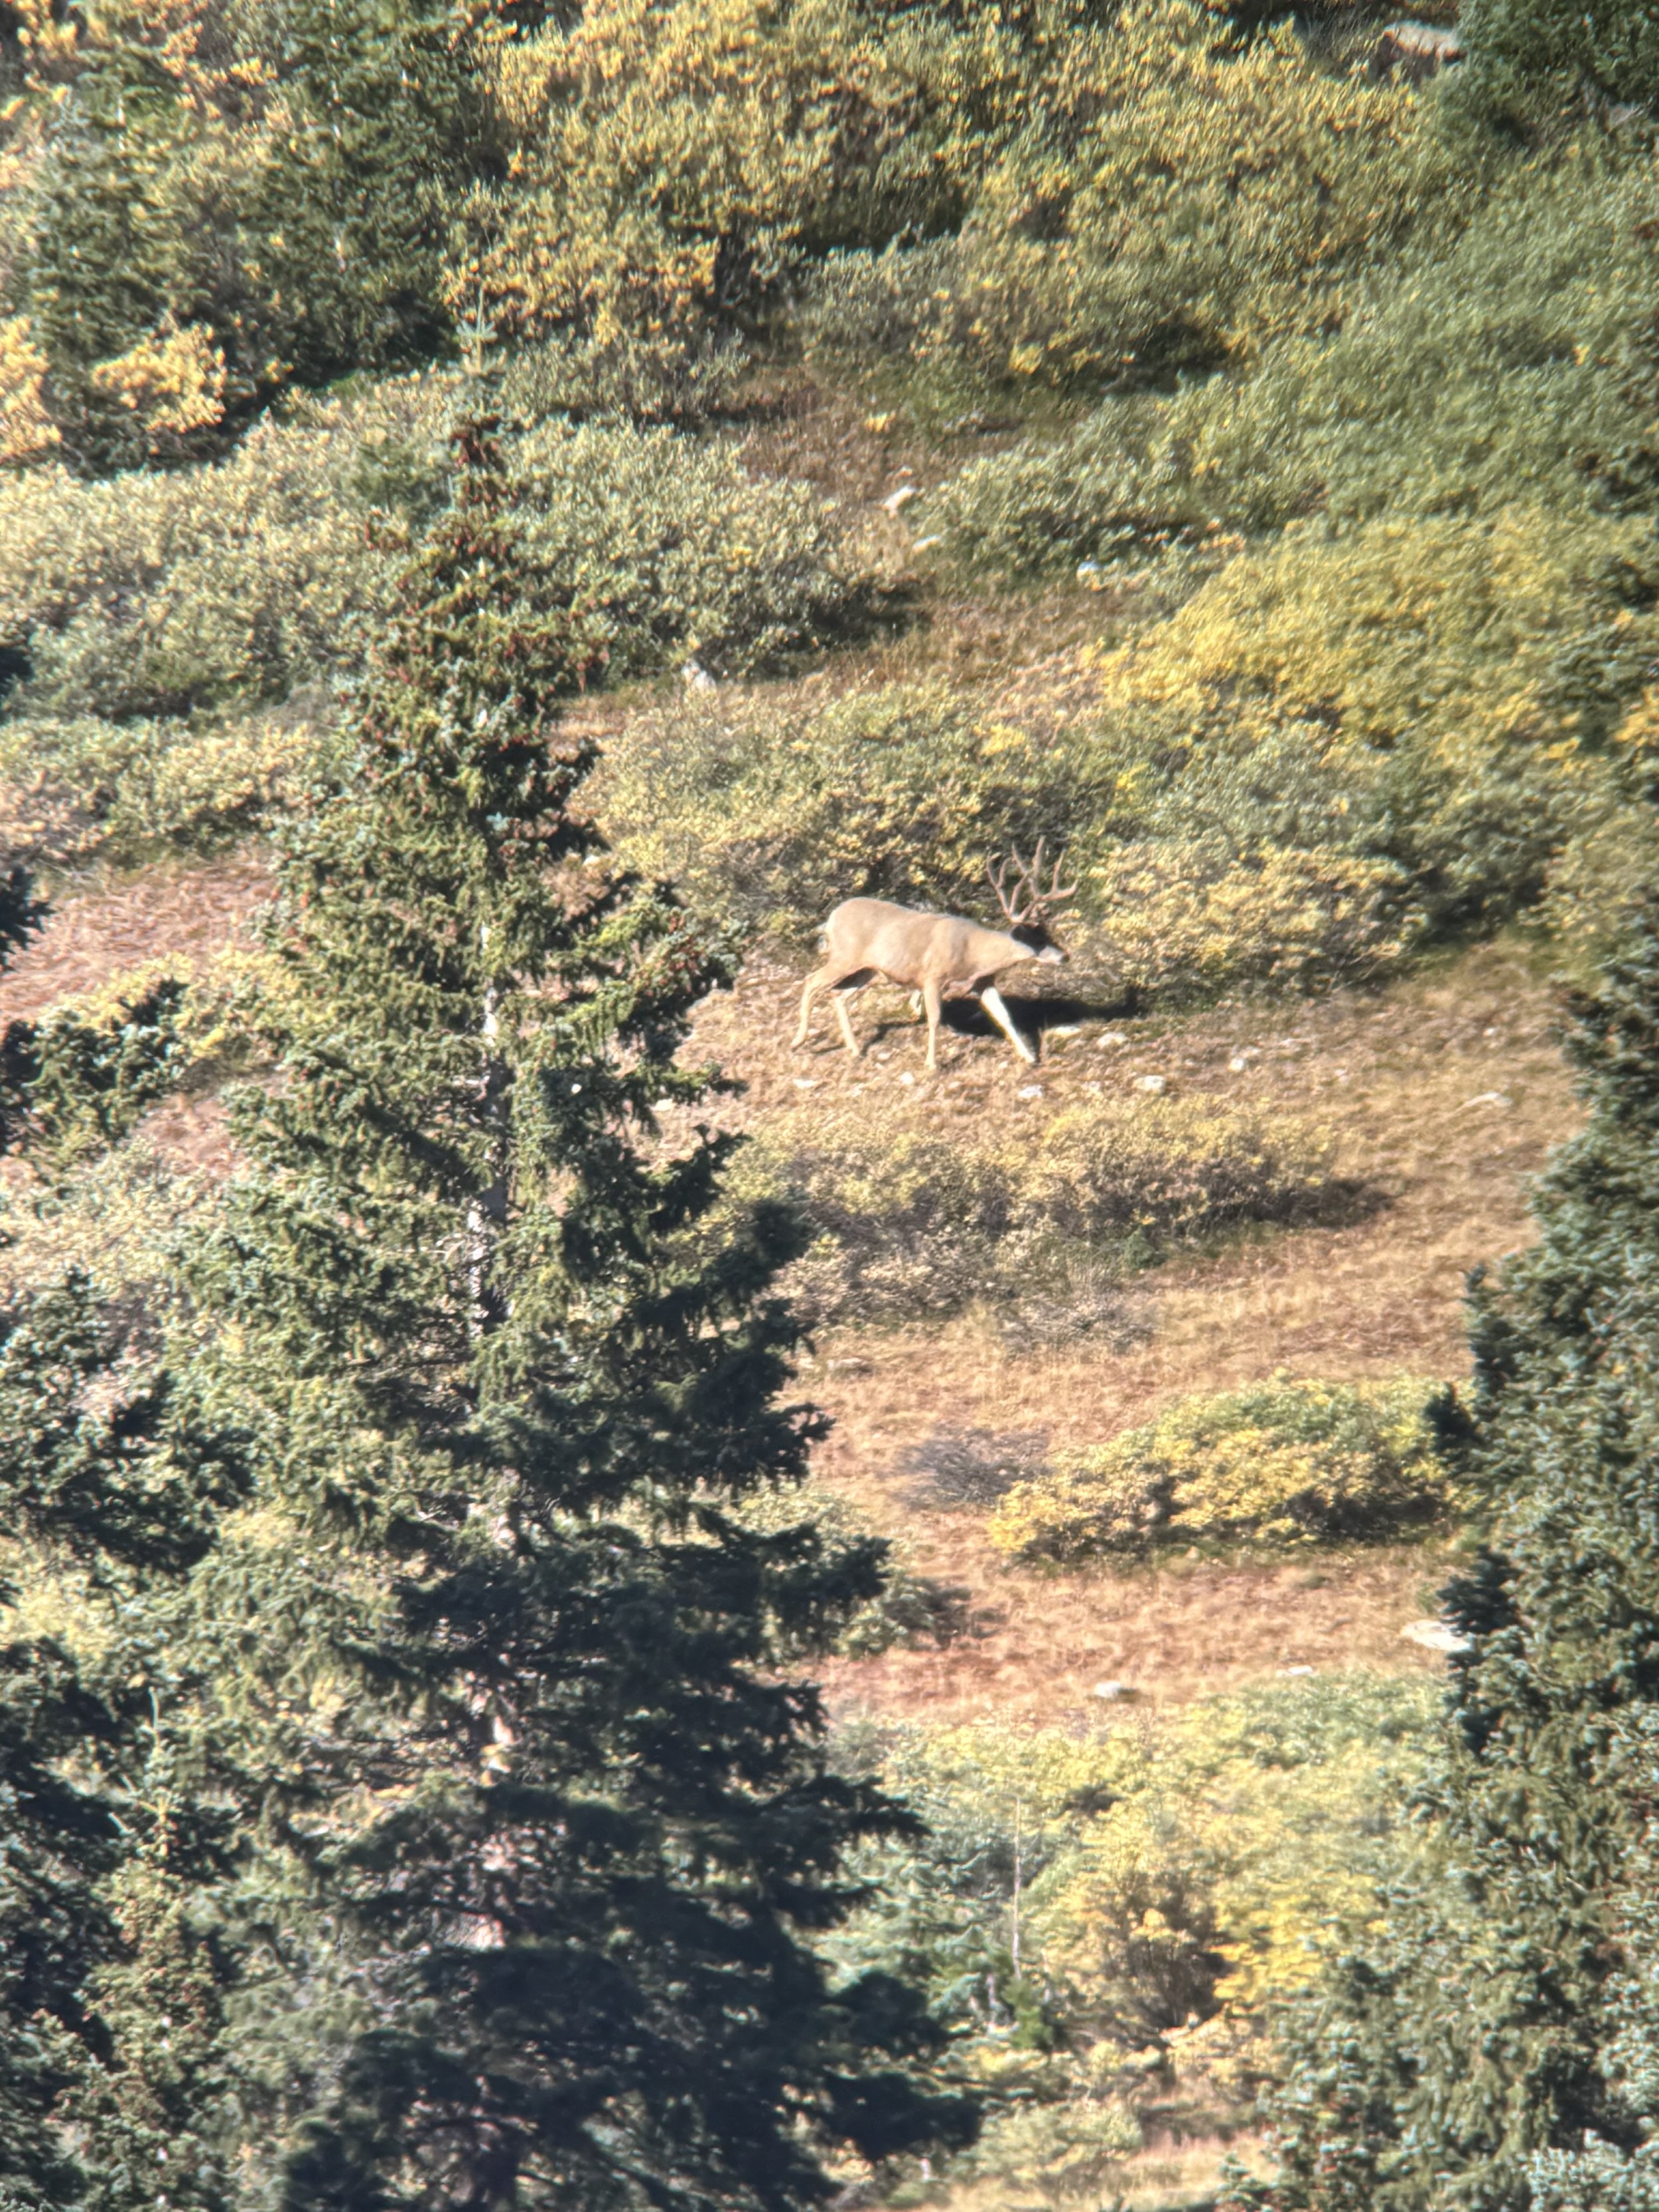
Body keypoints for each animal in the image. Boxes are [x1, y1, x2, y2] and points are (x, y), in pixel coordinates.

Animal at [792, 842, 1078, 1073]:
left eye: (1049, 933)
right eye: (1037, 940)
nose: (1065, 956)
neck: (974, 954)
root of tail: (832, 917)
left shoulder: (984, 982)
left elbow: (1004, 1017)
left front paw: (1030, 1057)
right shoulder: (932, 976)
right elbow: (934, 1018)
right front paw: (931, 1064)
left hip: (869, 970)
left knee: (838, 995)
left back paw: (854, 1049)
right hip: (844, 955)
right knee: (811, 981)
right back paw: (798, 1041)